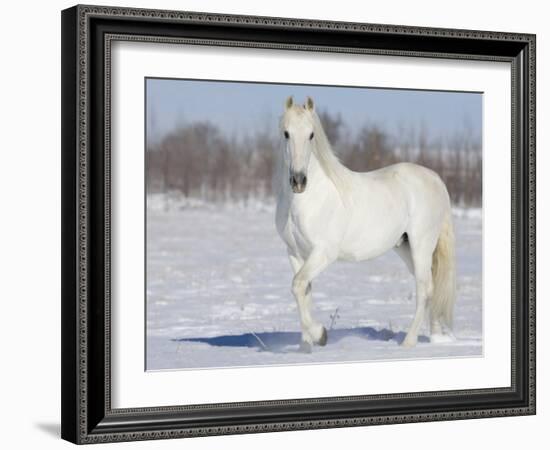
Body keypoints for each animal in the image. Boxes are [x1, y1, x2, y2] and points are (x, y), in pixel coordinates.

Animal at [276, 96, 458, 352]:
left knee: (424, 288)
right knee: (431, 285)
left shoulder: (323, 253)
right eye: (286, 133)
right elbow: (303, 291)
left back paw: (409, 342)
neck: (307, 200)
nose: (299, 181)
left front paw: (320, 335)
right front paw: (306, 346)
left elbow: (298, 285)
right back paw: (435, 338)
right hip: (406, 248)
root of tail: (436, 179)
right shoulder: (294, 253)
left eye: (311, 134)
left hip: (421, 245)